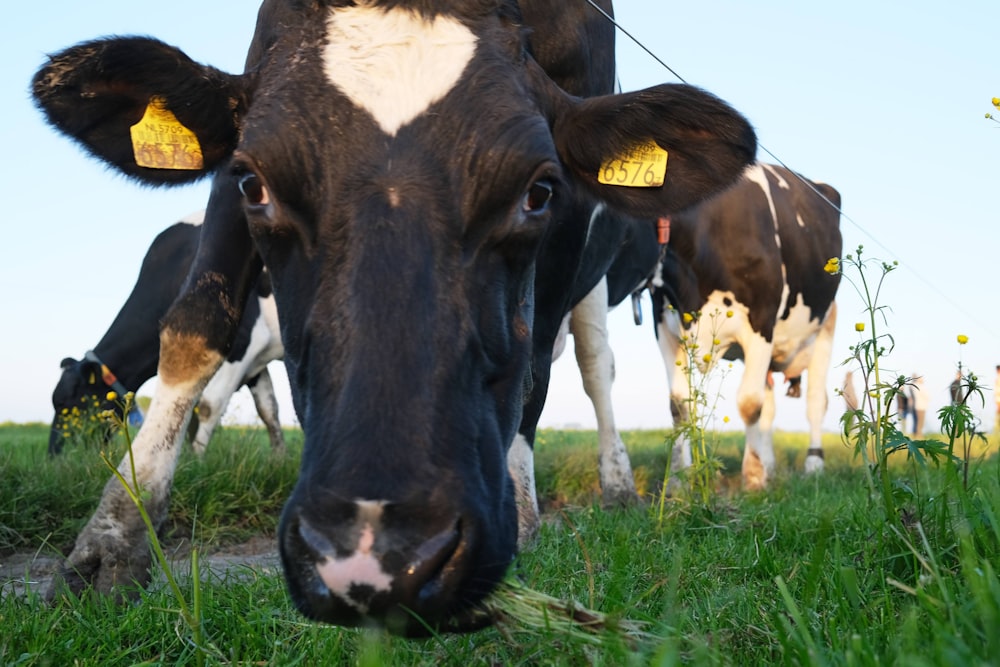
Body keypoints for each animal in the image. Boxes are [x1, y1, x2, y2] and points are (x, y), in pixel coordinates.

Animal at [49, 214, 286, 460]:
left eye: (67, 403)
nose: (54, 456)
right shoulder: (257, 359)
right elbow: (269, 410)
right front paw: (279, 458)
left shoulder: (241, 342)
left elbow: (209, 406)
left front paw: (196, 458)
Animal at [648, 164, 844, 488]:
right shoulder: (664, 326)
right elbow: (679, 405)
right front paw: (679, 481)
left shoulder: (761, 323)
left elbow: (749, 403)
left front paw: (752, 478)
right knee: (770, 405)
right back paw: (770, 465)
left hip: (825, 327)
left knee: (816, 401)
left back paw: (813, 464)